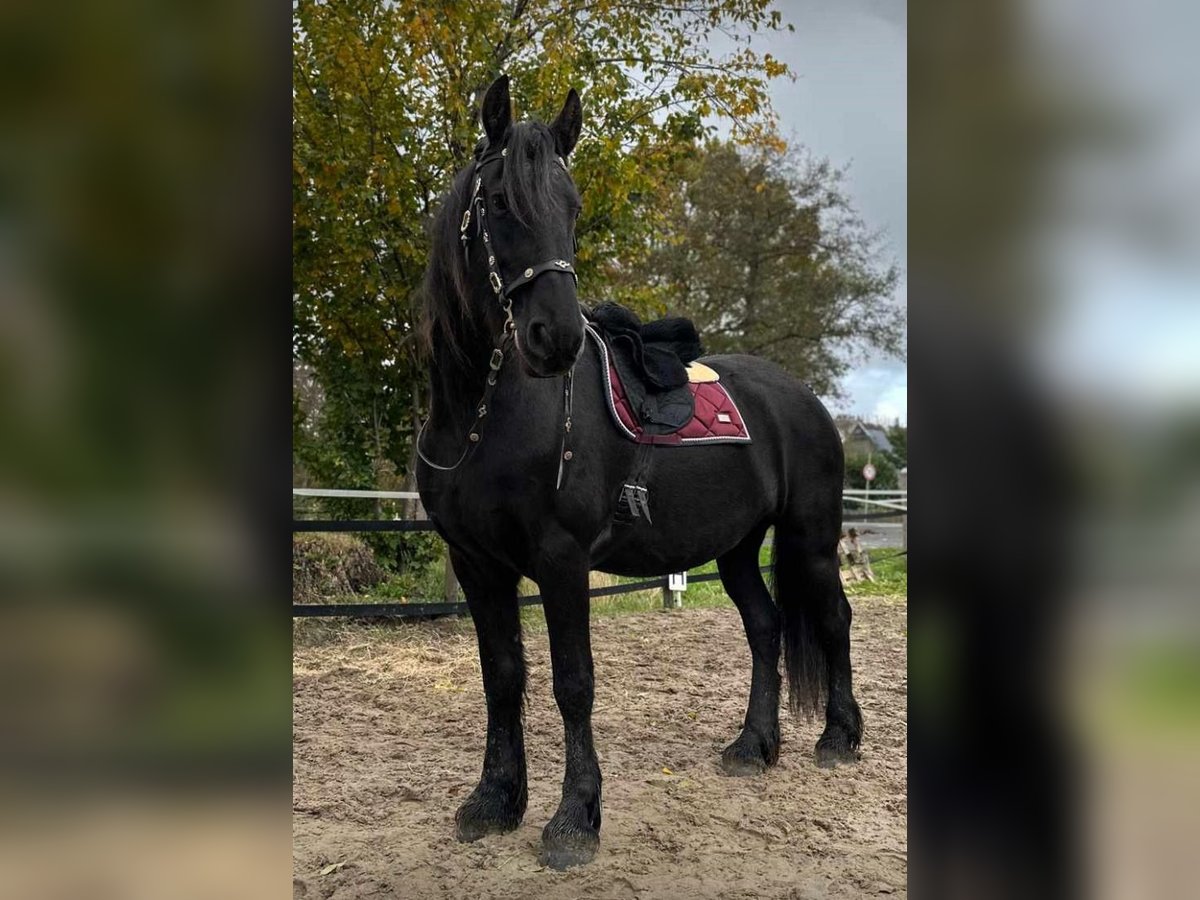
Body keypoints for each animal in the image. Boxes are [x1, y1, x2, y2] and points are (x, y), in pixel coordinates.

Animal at [417, 79, 859, 873]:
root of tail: (803, 398)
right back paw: (754, 746)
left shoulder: (561, 562)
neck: (481, 418)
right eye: (497, 202)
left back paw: (838, 737)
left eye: (571, 207)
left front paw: (574, 820)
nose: (556, 338)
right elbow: (502, 678)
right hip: (738, 548)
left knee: (833, 618)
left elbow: (573, 684)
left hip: (810, 537)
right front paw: (495, 801)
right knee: (766, 627)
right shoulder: (476, 566)